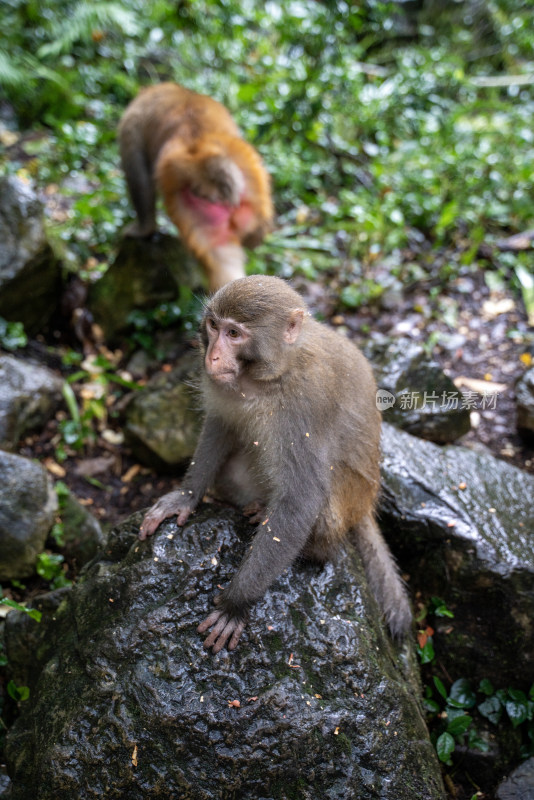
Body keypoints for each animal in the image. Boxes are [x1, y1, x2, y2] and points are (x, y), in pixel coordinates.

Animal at [119, 81, 274, 292]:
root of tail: (199, 150)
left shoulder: (132, 121)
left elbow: (138, 178)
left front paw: (143, 229)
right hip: (250, 186)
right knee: (233, 255)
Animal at [139, 276, 414, 648]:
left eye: (234, 334)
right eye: (213, 326)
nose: (212, 356)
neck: (270, 375)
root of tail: (364, 506)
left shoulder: (304, 404)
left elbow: (301, 499)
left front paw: (235, 605)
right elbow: (221, 426)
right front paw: (185, 497)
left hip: (345, 507)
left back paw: (300, 537)